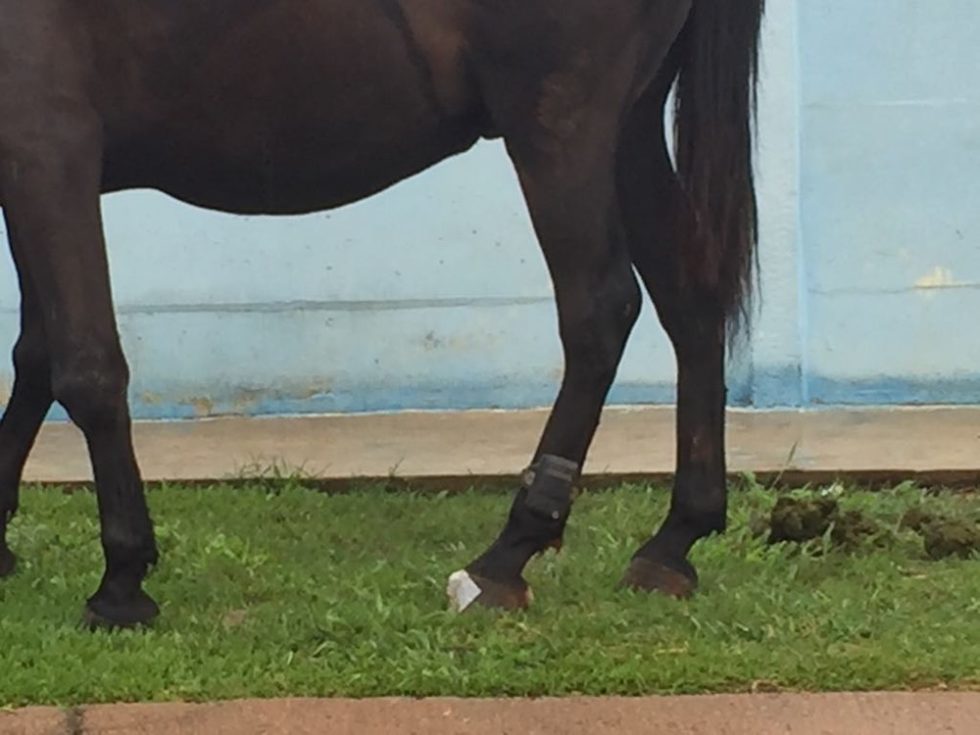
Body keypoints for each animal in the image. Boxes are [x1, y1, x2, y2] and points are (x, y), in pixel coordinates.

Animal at [0, 1, 764, 628]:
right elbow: (37, 355)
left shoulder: (45, 144)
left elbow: (85, 367)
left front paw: (122, 583)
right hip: (627, 123)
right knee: (690, 299)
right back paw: (673, 541)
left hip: (559, 125)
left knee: (600, 313)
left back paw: (505, 555)